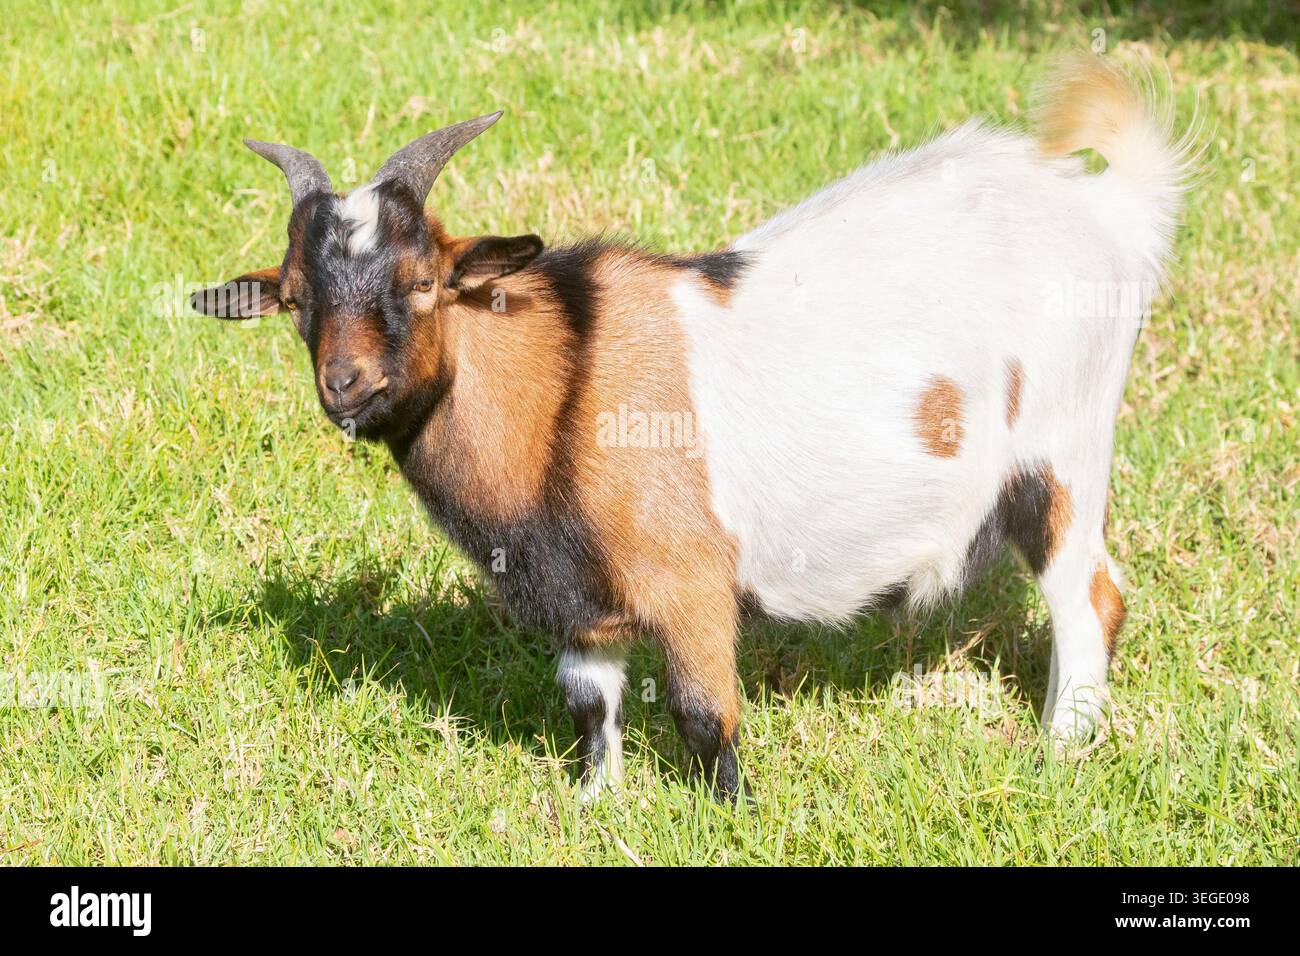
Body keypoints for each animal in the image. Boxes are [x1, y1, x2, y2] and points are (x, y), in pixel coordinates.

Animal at [193, 54, 1190, 800]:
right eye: (293, 298)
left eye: (424, 280)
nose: (345, 384)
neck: (562, 386)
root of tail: (1111, 213)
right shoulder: (580, 602)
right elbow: (591, 706)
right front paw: (595, 804)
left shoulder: (689, 581)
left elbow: (705, 713)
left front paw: (732, 815)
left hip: (1065, 452)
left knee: (1090, 596)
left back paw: (1060, 749)